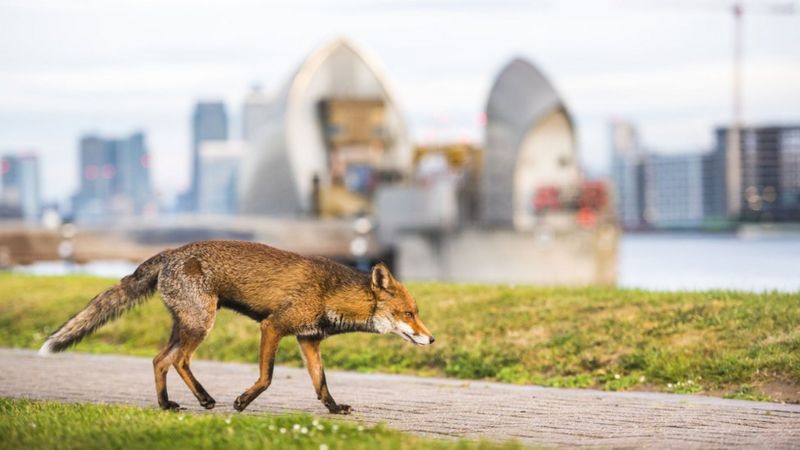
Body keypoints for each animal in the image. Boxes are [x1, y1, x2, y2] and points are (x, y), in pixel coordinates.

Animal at [39, 241, 434, 414]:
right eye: (408, 313)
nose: (431, 338)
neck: (329, 293)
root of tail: (170, 252)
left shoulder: (309, 340)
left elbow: (321, 384)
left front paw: (334, 410)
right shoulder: (273, 326)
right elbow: (267, 377)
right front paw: (242, 401)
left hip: (185, 325)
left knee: (158, 360)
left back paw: (166, 405)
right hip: (201, 325)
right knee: (178, 361)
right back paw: (204, 399)